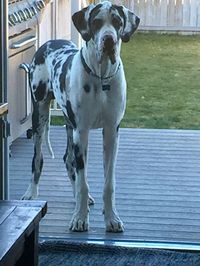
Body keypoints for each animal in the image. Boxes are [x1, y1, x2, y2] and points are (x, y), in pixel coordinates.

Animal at [21, 1, 139, 232]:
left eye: (118, 22)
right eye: (96, 22)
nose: (109, 40)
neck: (101, 77)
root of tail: (48, 42)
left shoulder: (111, 133)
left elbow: (108, 183)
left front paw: (111, 218)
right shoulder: (81, 132)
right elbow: (83, 181)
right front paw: (80, 219)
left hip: (69, 125)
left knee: (68, 160)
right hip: (41, 115)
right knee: (38, 158)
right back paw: (31, 193)